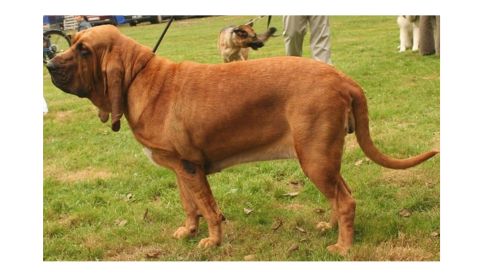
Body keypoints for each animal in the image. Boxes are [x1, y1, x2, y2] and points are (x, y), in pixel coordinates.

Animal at [46, 25, 438, 255]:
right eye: (71, 43)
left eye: (84, 50)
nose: (49, 66)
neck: (139, 79)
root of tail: (343, 79)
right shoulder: (180, 168)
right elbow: (189, 205)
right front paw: (188, 231)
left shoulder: (191, 167)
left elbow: (208, 207)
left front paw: (212, 241)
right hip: (323, 157)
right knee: (341, 195)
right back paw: (330, 228)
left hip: (314, 159)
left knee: (346, 200)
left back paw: (342, 247)